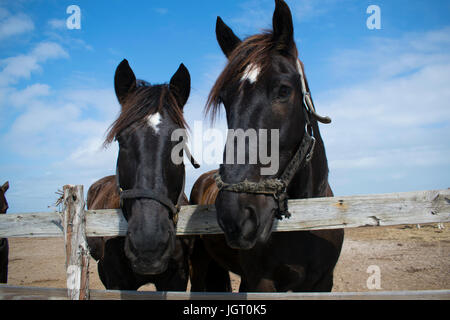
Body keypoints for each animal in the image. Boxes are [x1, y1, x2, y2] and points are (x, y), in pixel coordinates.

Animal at [191, 0, 344, 292]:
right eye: (224, 99)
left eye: (283, 90)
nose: (236, 215)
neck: (305, 223)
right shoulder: (261, 282)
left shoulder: (323, 283)